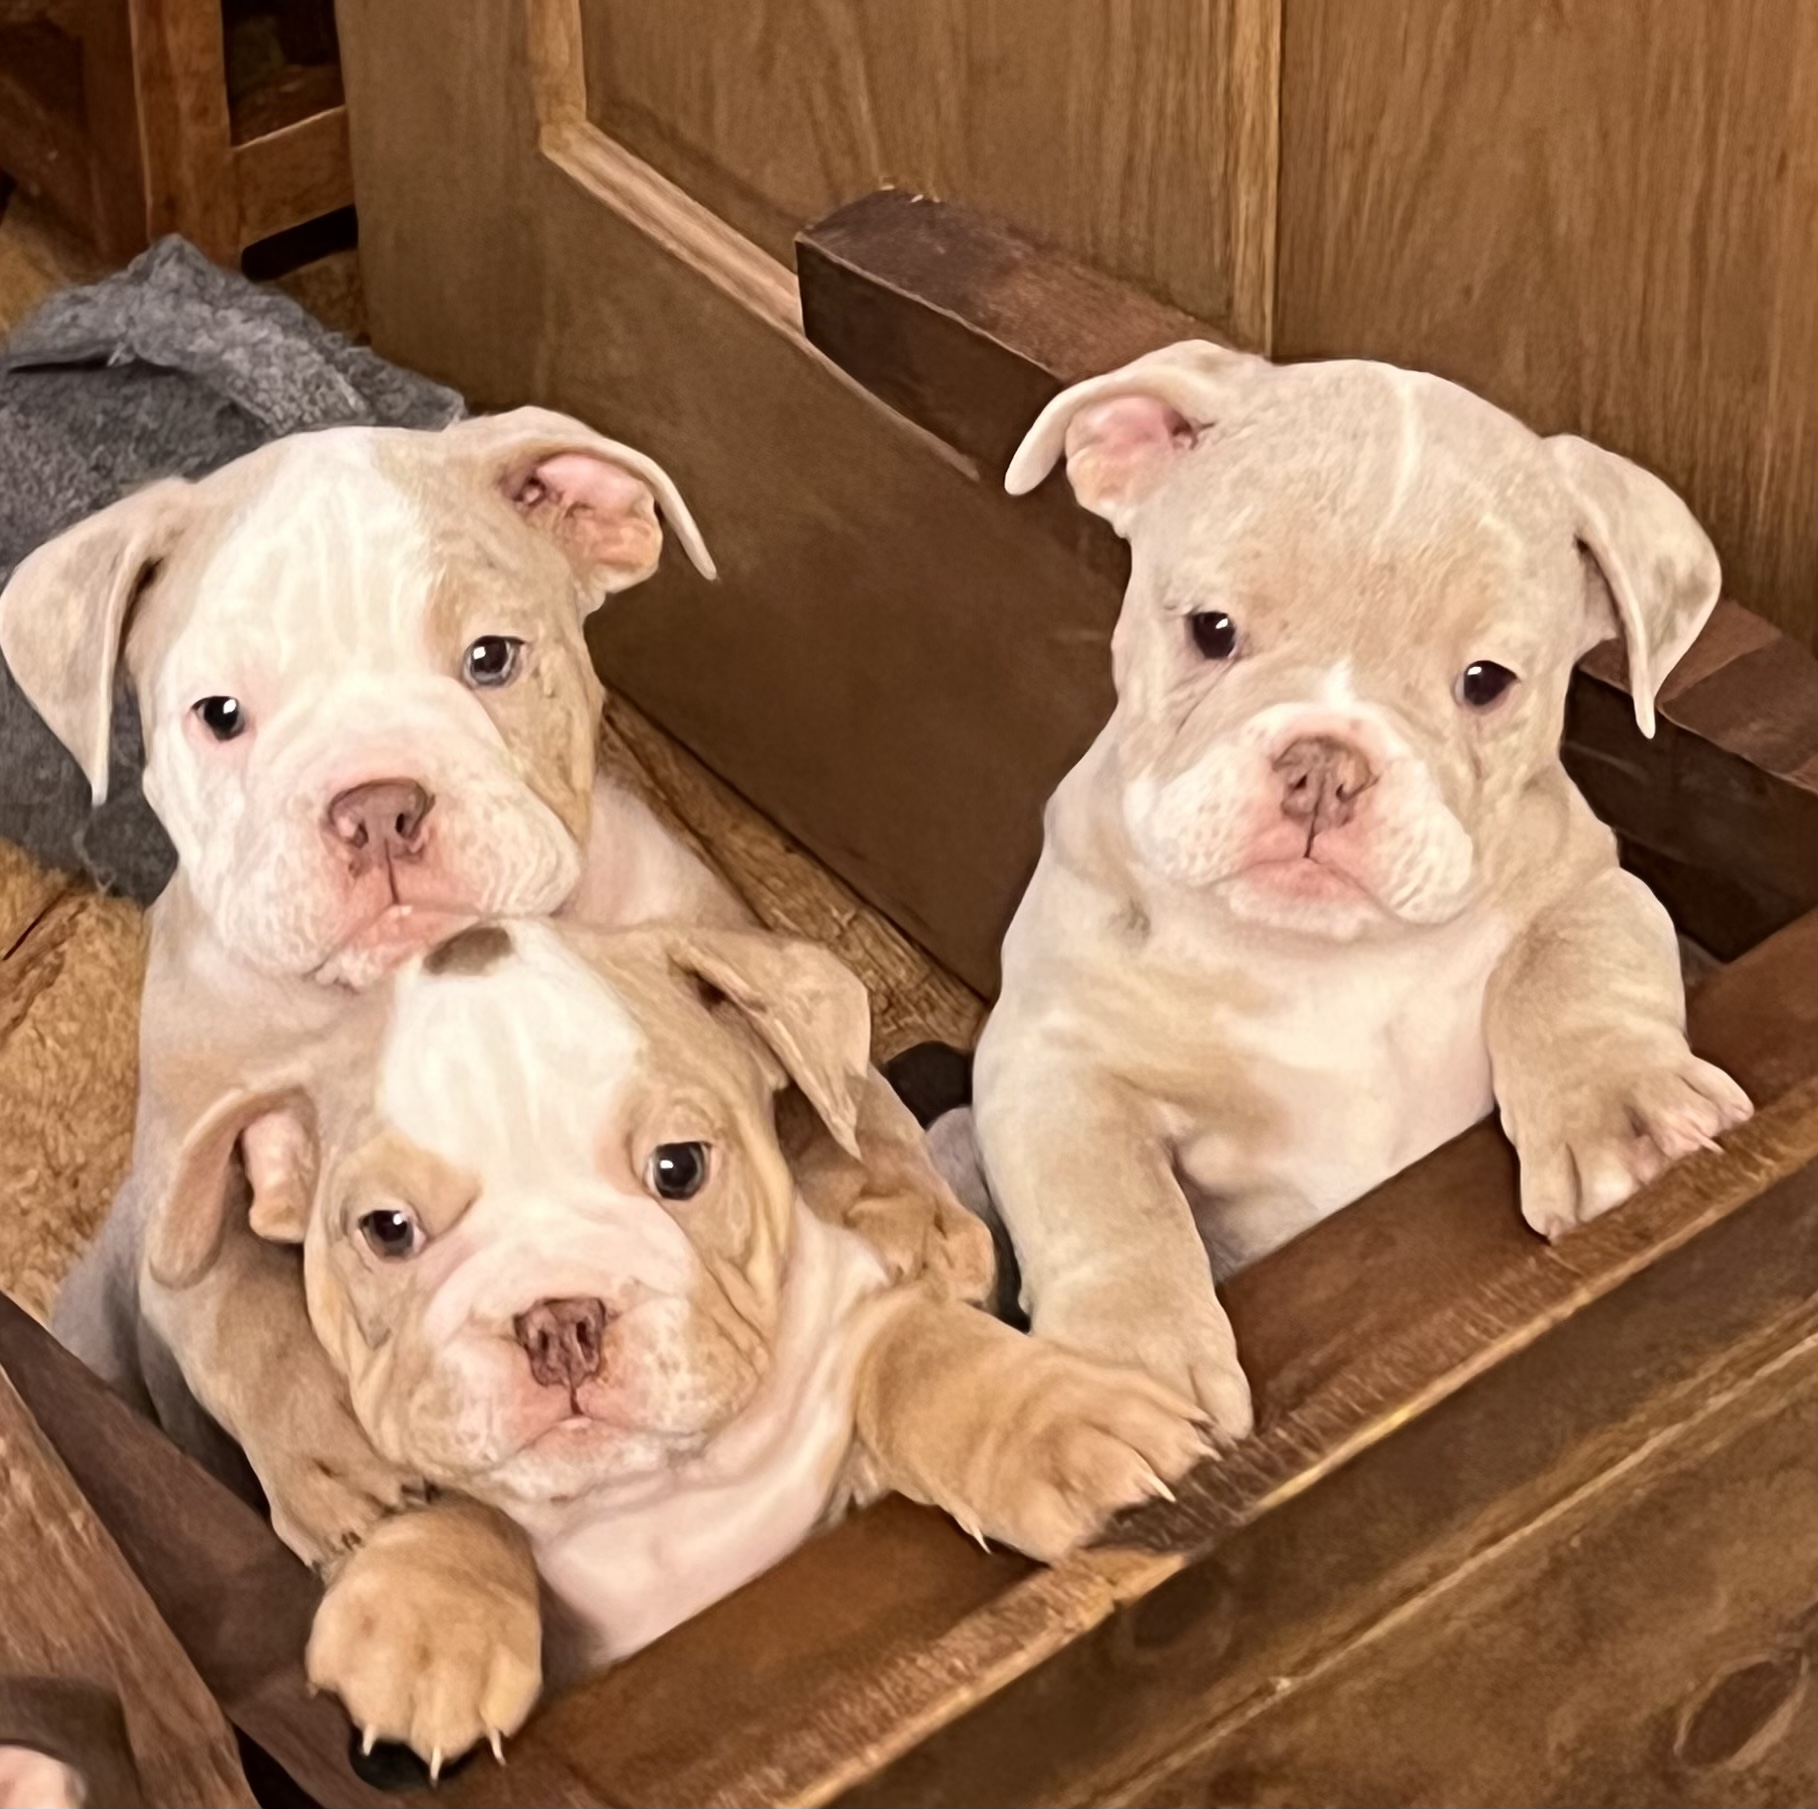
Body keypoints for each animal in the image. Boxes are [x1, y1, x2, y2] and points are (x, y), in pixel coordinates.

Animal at [0, 408, 985, 1566]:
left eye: (492, 658)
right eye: (221, 714)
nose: (376, 803)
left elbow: (838, 1099)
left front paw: (898, 1209)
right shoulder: (185, 1170)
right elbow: (232, 1299)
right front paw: (332, 1457)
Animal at [149, 919, 1208, 1766]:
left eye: (679, 1167)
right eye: (387, 1229)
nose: (558, 1319)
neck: (649, 1496)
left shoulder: (851, 1340)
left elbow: (923, 1355)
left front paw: (1059, 1424)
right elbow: (454, 1501)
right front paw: (425, 1621)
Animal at [956, 341, 1753, 1435]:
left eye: (1485, 682)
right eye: (1212, 630)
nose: (1325, 765)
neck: (1316, 955)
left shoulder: (1588, 883)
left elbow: (1571, 967)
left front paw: (1620, 1115)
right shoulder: (1054, 1053)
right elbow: (1103, 1193)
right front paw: (1125, 1366)